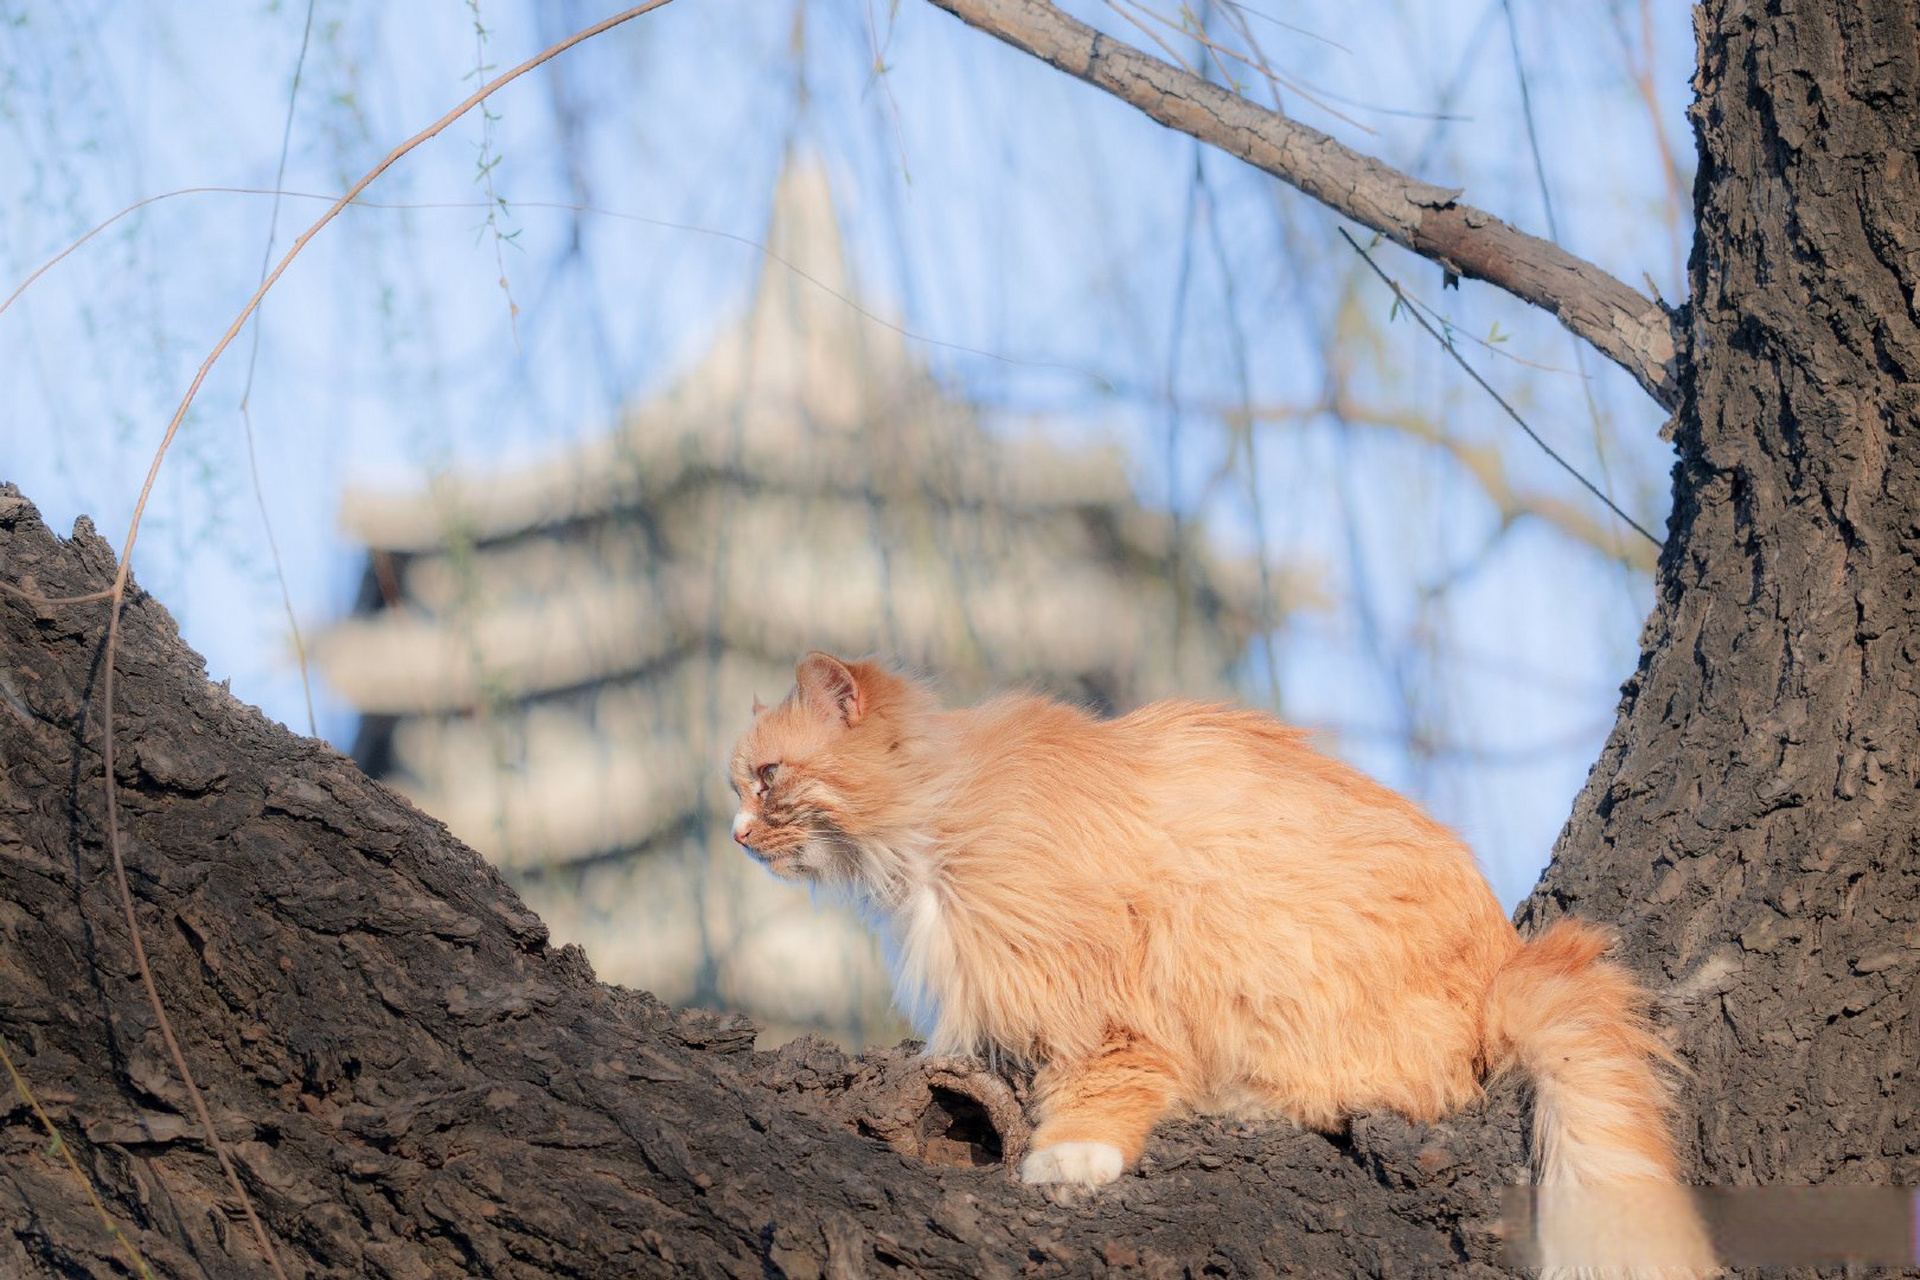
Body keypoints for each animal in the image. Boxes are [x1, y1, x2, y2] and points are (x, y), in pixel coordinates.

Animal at [729, 656, 1712, 1274]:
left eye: (768, 778)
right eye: (738, 787)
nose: (736, 836)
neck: (937, 820)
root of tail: (1511, 966)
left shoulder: (1105, 985)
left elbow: (1105, 1078)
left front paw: (1071, 1155)